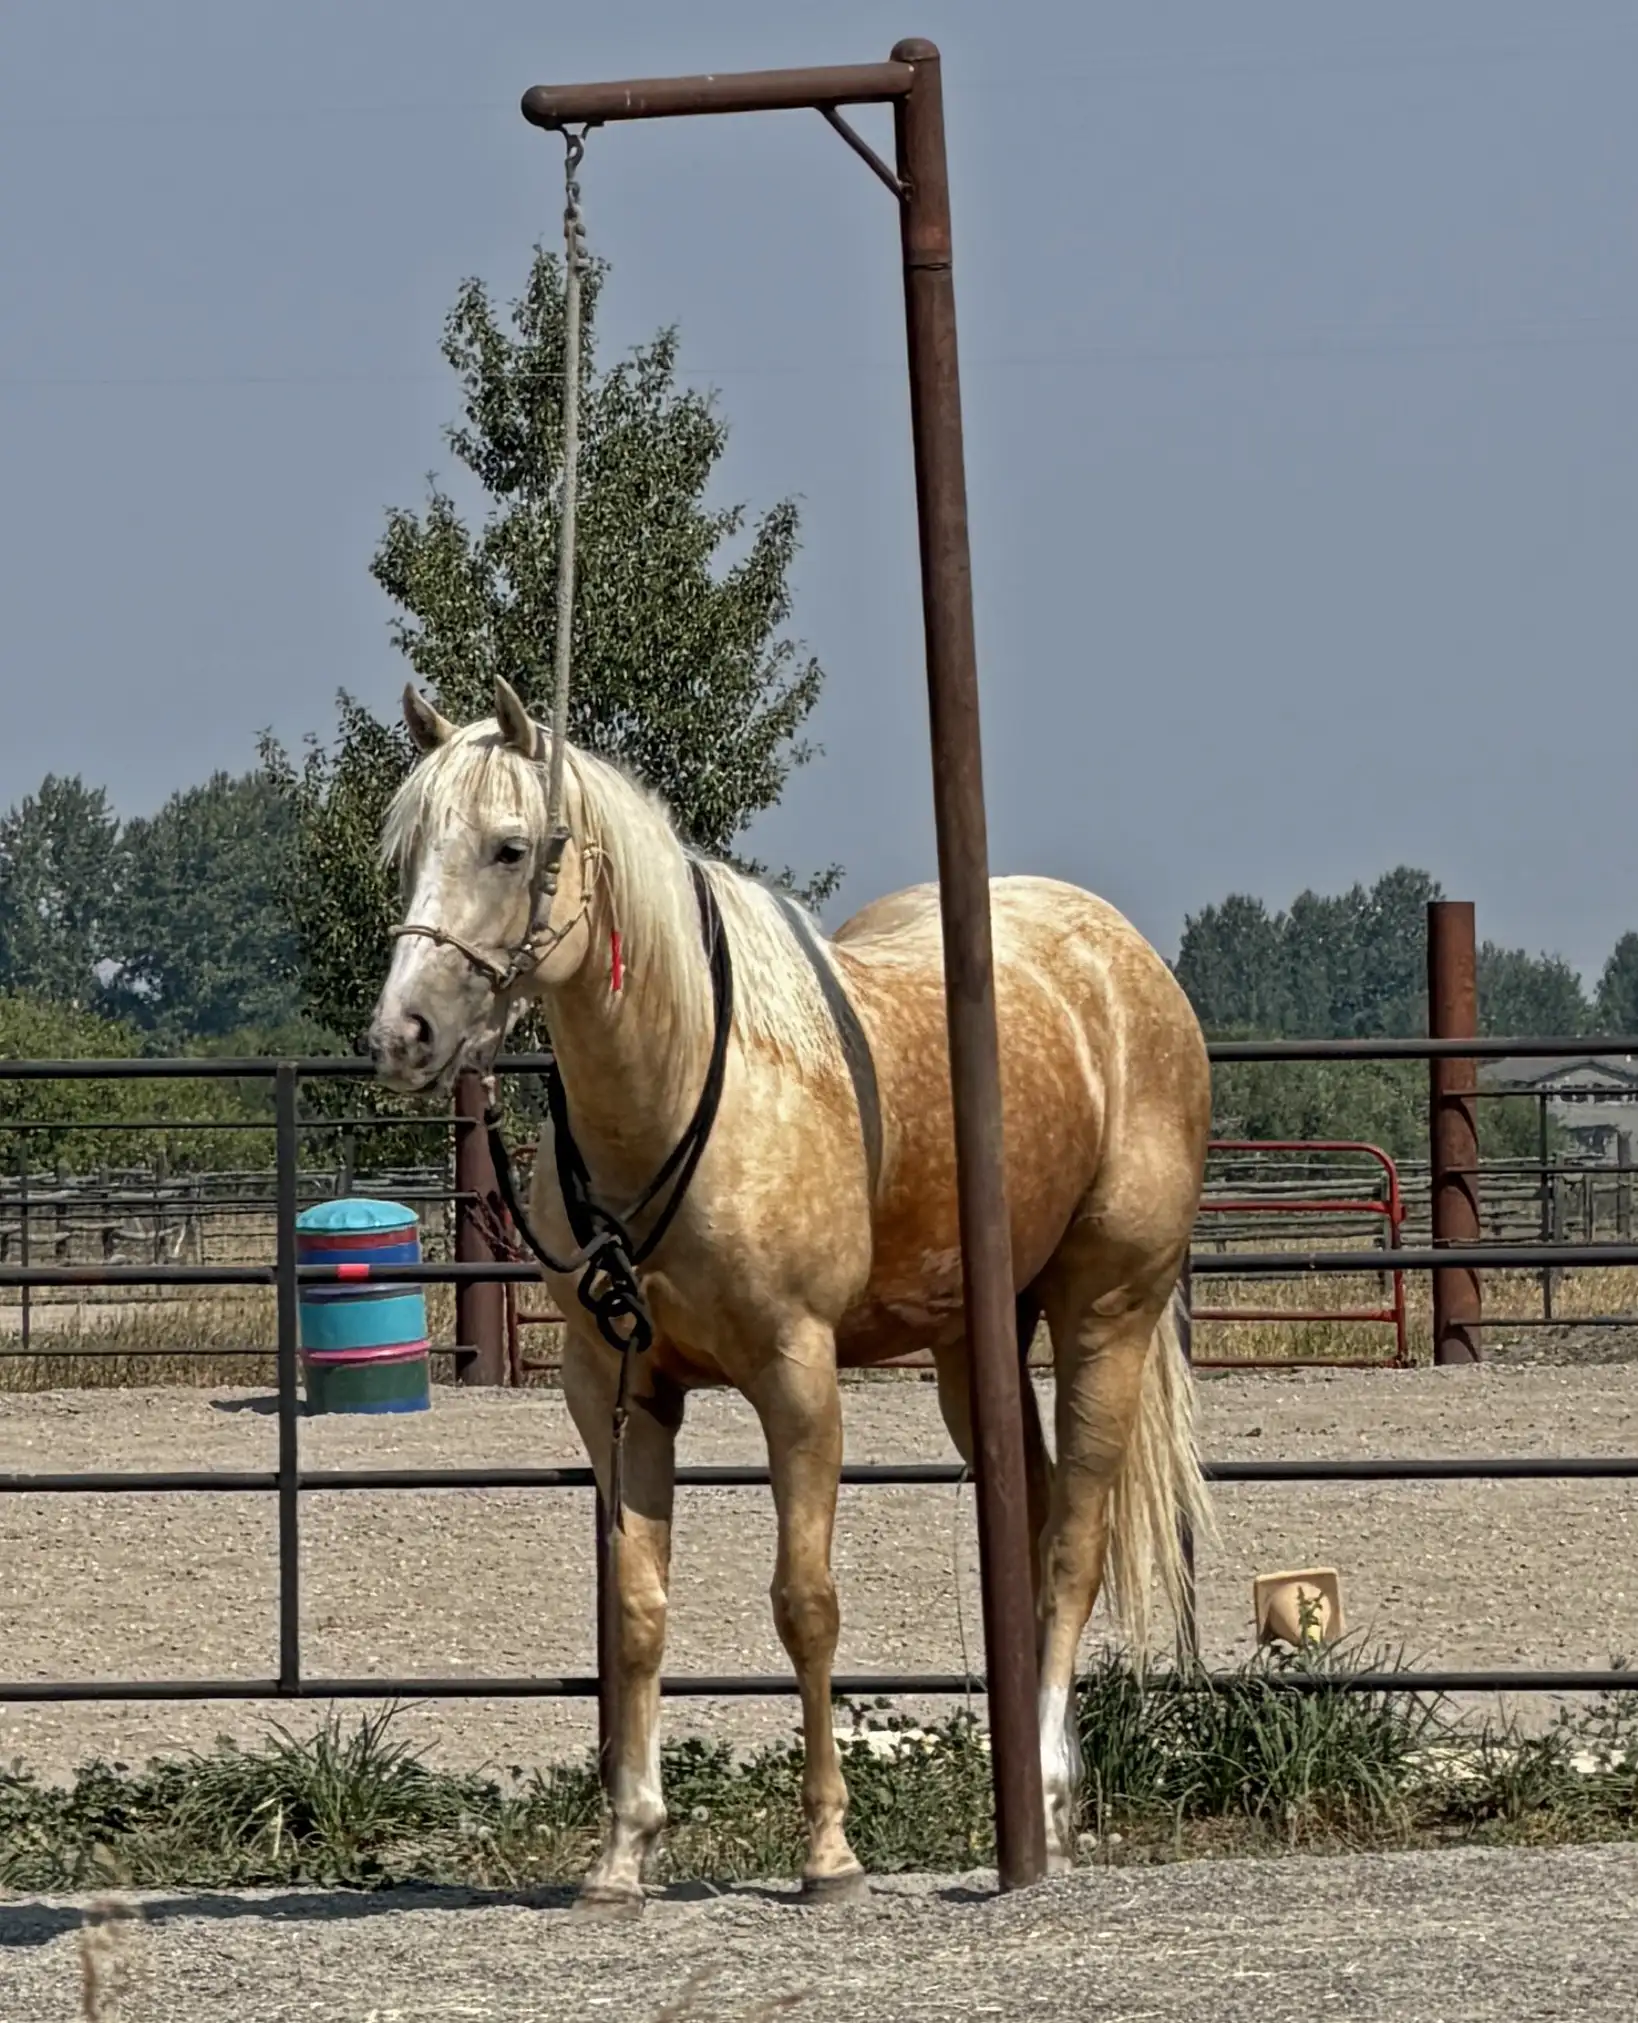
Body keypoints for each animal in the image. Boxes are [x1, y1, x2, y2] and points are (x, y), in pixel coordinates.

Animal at [367, 675, 1213, 1909]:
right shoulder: (618, 1390)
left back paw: (1051, 1799)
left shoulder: (797, 1377)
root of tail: (1125, 959)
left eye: (509, 845)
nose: (404, 1033)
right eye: (407, 852)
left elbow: (805, 1604)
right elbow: (638, 1612)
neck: (690, 1094)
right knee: (1037, 1517)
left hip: (1107, 1313)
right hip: (976, 1345)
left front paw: (828, 1853)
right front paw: (624, 1851)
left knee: (1074, 1547)